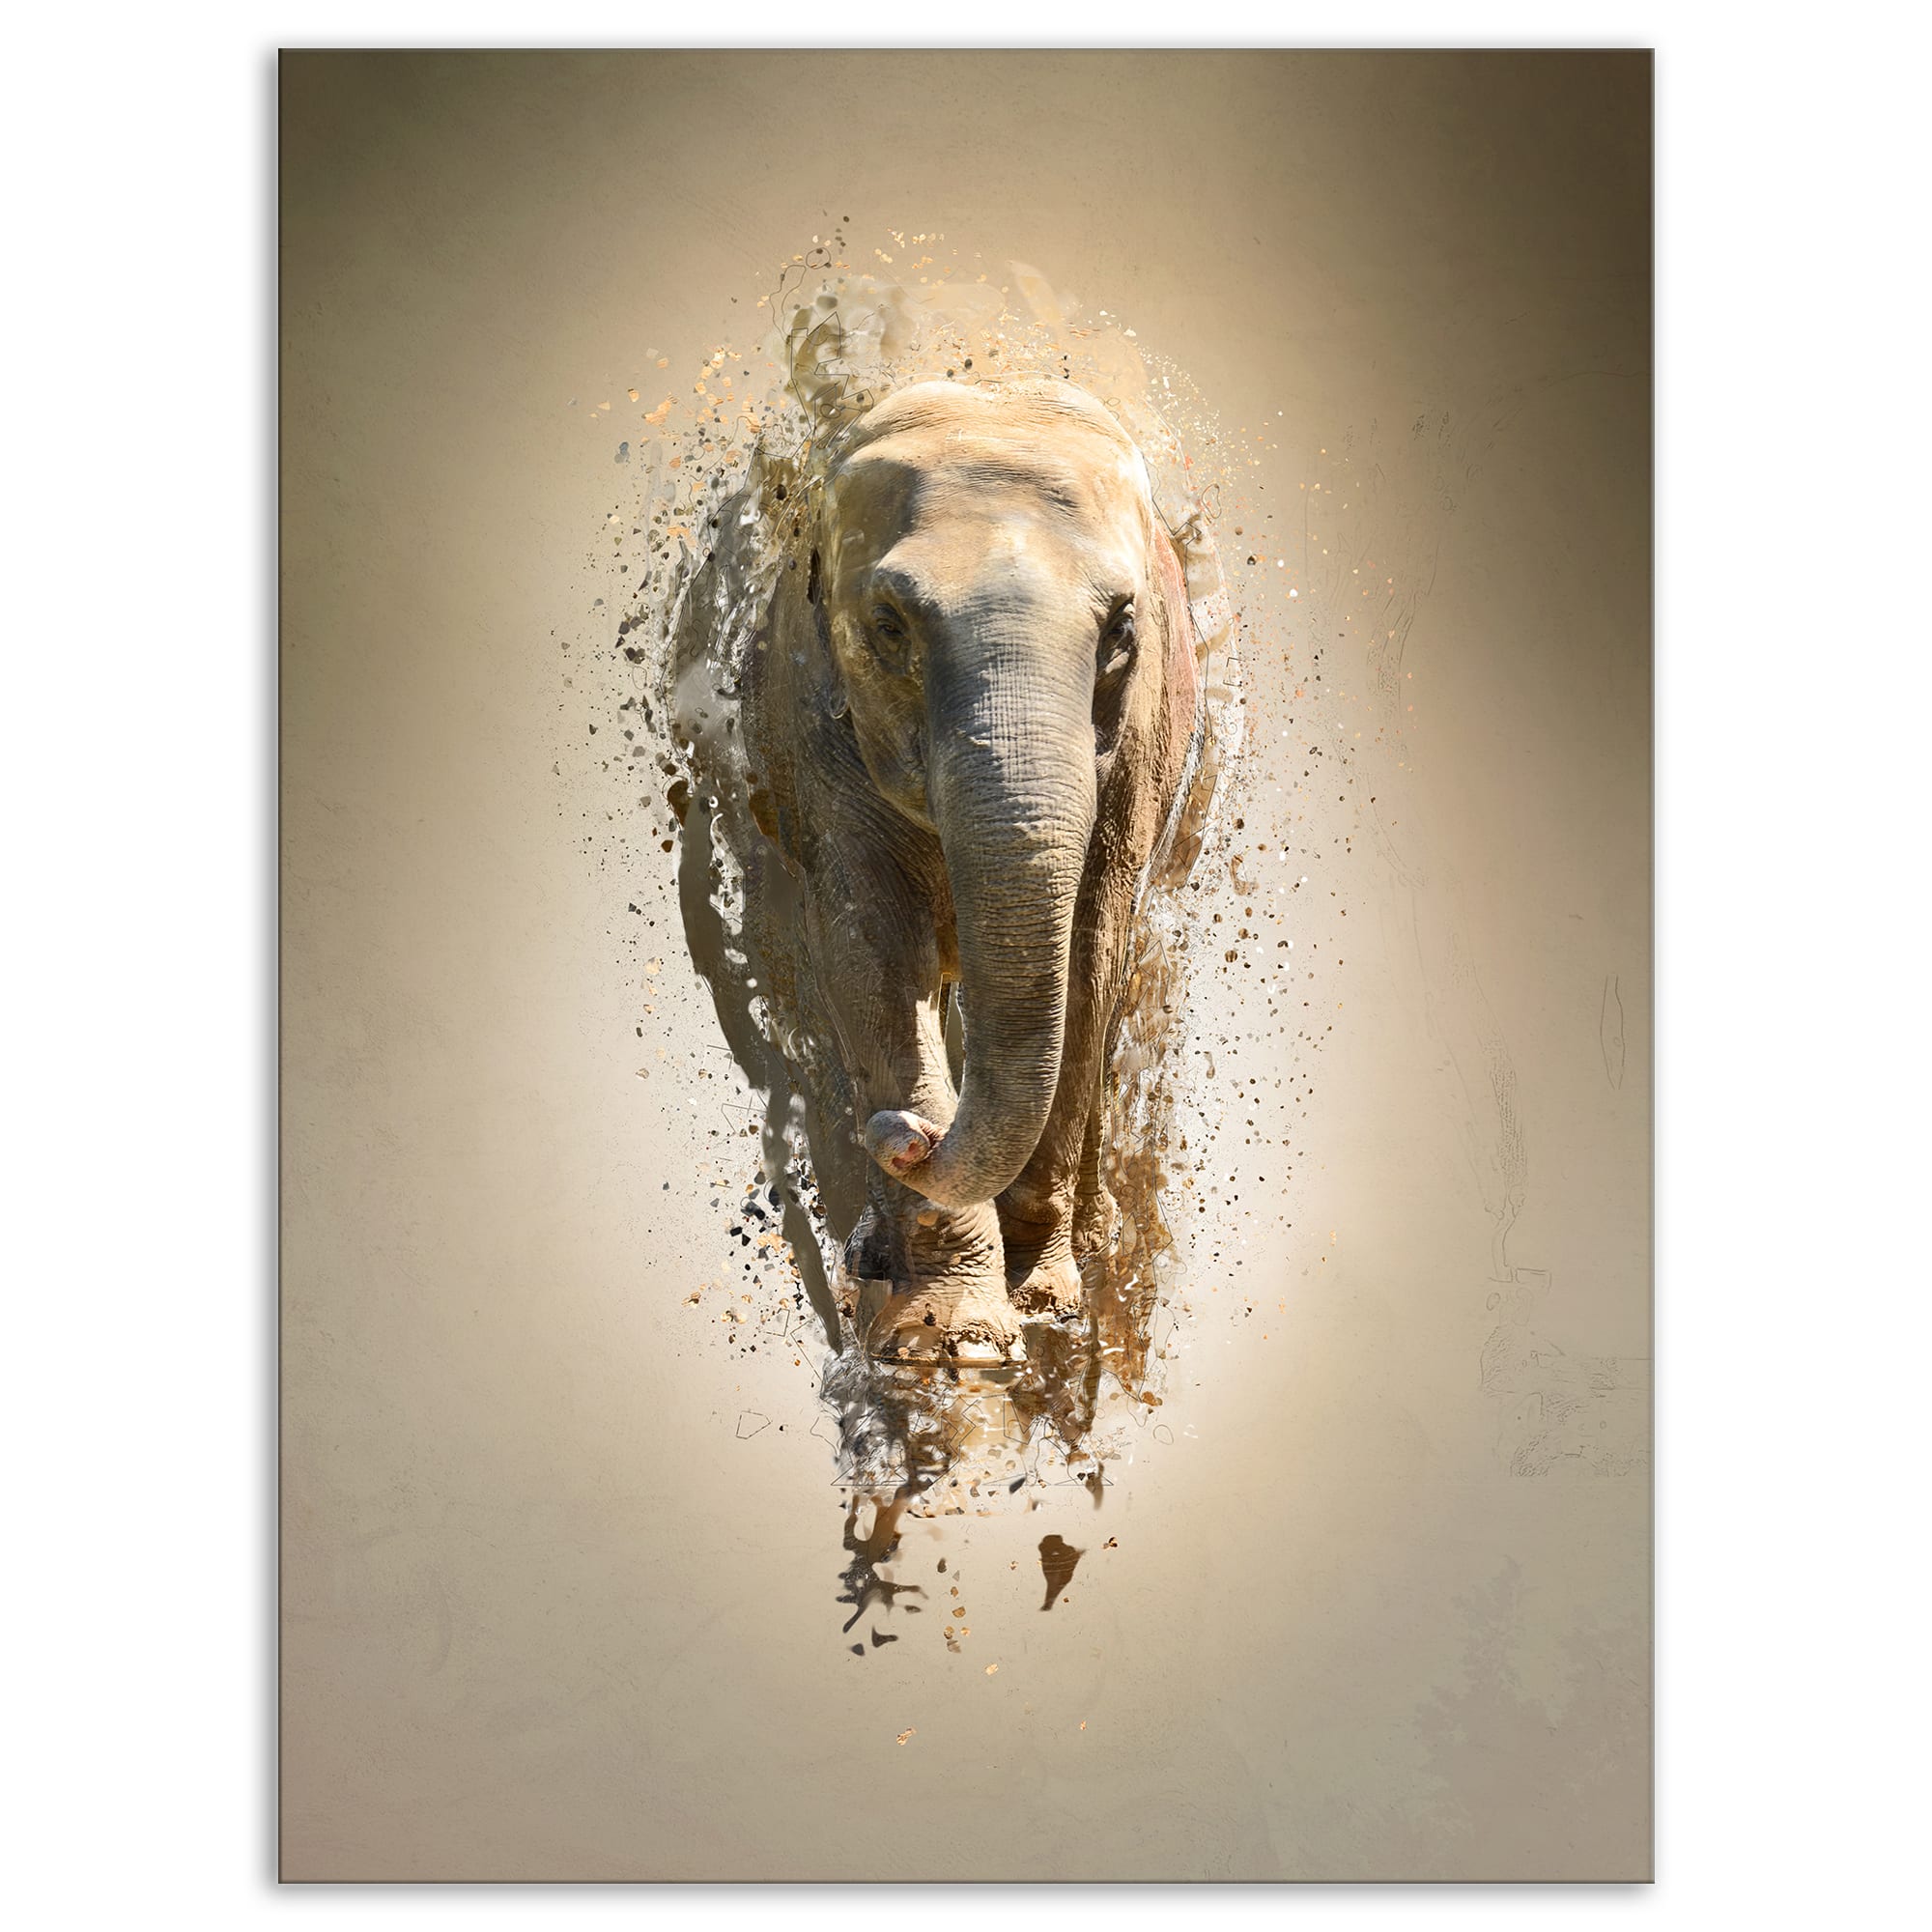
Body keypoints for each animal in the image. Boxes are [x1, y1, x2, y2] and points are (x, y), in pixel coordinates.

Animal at [667, 376, 1213, 1366]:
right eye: (888, 627)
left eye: (1122, 629)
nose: (904, 1137)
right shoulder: (810, 726)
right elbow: (874, 957)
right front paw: (945, 1341)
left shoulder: (1139, 752)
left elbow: (1084, 961)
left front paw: (1040, 1305)